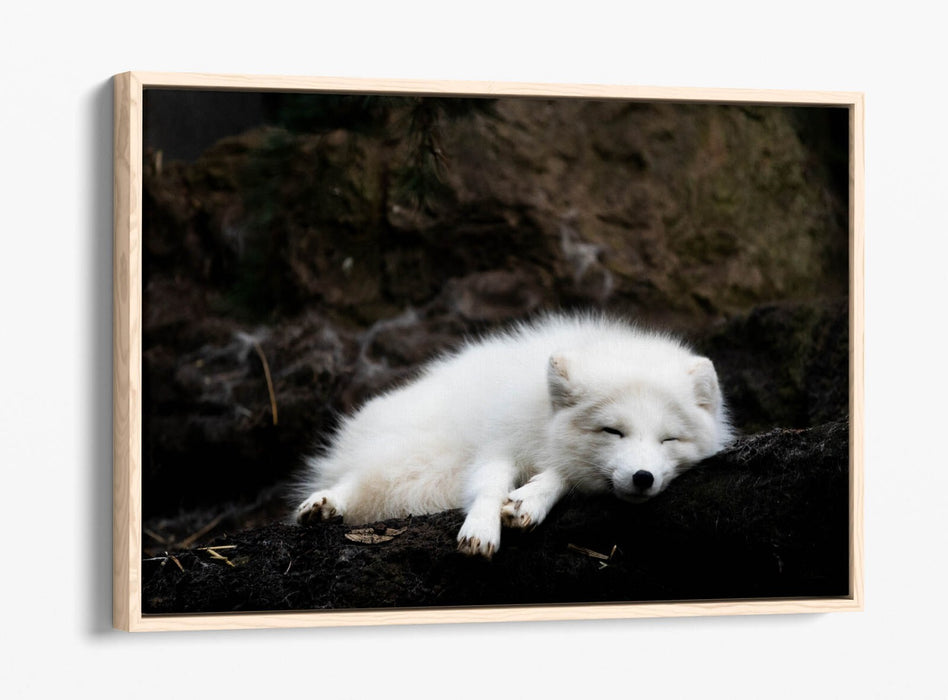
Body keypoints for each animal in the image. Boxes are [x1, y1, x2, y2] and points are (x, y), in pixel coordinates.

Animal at [294, 314, 733, 558]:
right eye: (613, 430)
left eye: (669, 440)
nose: (643, 478)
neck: (541, 417)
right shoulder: (499, 442)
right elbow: (489, 484)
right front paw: (481, 528)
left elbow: (561, 476)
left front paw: (529, 500)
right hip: (415, 455)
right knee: (360, 478)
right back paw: (324, 504)